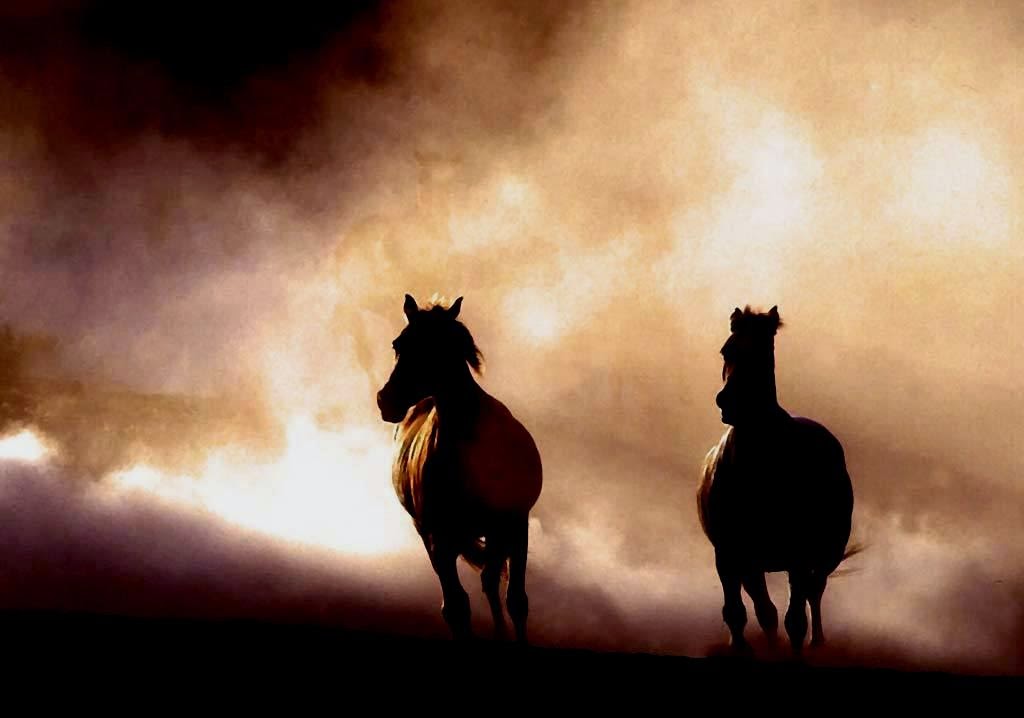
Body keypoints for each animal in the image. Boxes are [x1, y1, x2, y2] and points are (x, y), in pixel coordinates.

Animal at [378, 294, 544, 643]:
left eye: (437, 347)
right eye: (398, 344)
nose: (386, 401)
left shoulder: (515, 525)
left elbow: (517, 601)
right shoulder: (438, 538)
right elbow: (455, 608)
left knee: (491, 581)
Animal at [696, 305, 856, 651]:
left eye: (762, 353)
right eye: (726, 350)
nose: (728, 402)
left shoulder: (798, 555)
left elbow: (795, 620)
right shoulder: (731, 555)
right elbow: (741, 614)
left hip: (825, 553)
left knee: (814, 593)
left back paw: (817, 643)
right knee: (769, 608)